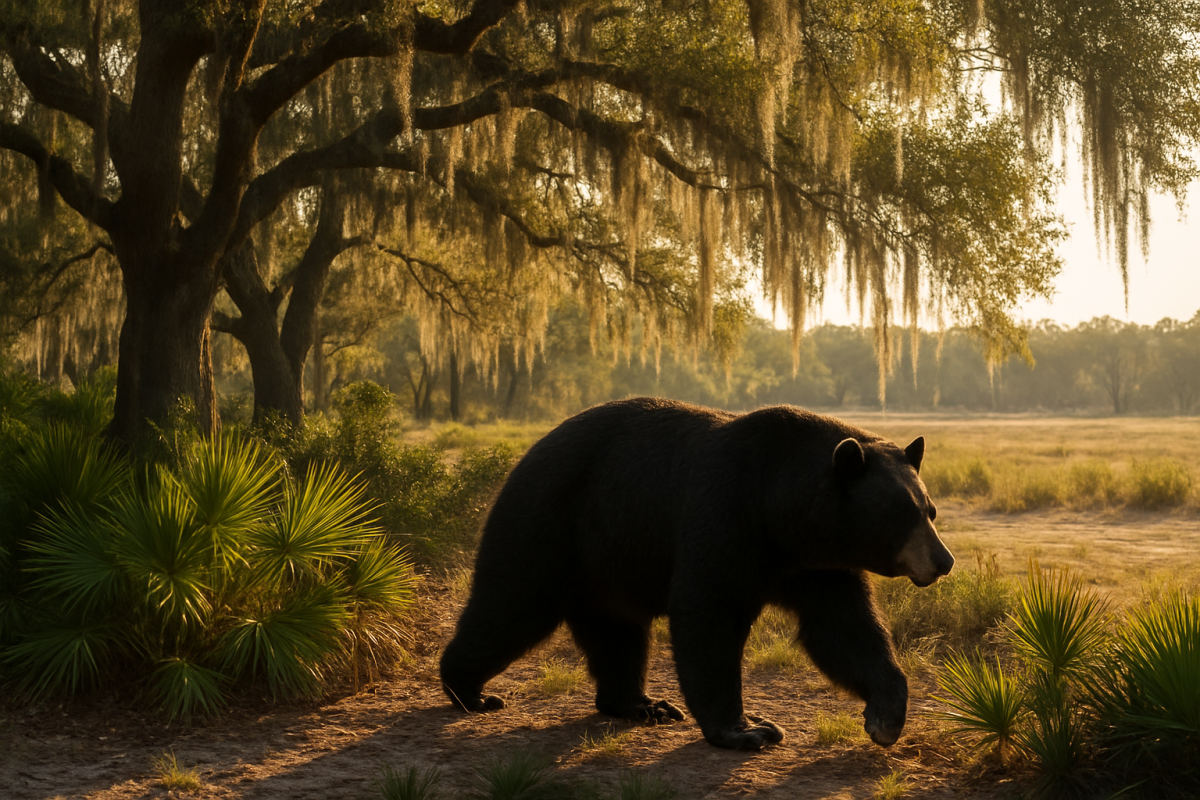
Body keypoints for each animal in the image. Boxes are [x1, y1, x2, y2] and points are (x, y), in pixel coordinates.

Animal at [439, 397, 954, 750]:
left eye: (929, 510)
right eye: (902, 514)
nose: (943, 561)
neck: (782, 511)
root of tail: (527, 453)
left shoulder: (817, 564)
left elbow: (845, 629)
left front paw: (885, 717)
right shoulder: (724, 514)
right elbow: (710, 616)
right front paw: (748, 729)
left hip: (608, 560)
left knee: (617, 634)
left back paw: (642, 704)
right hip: (549, 521)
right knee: (511, 604)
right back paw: (469, 691)